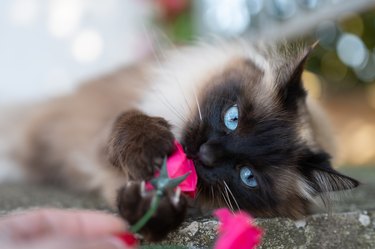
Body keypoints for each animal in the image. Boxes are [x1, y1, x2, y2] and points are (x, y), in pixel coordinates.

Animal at [0, 40, 358, 241]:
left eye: (248, 176)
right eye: (232, 118)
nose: (207, 153)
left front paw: (151, 209)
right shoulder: (96, 133)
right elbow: (128, 123)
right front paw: (151, 149)